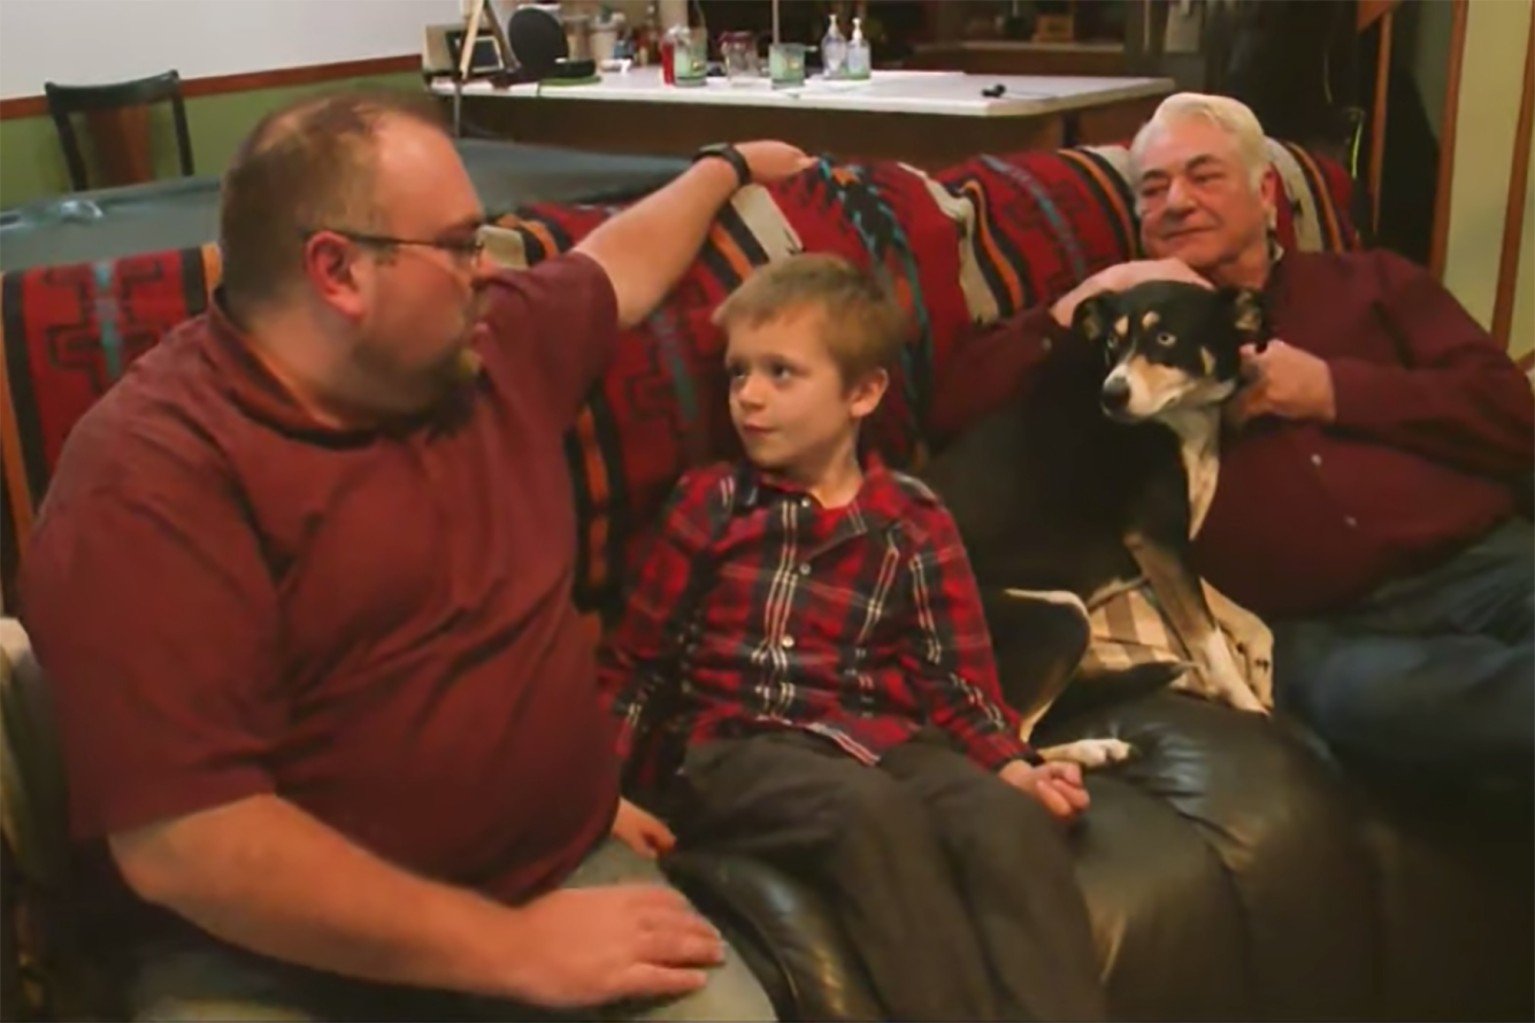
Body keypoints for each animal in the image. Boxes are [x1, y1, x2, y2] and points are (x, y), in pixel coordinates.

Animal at [927, 282, 1277, 761]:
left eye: (1164, 338)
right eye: (1112, 341)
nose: (1111, 395)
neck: (1182, 418)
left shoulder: (1164, 549)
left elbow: (1235, 612)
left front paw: (1259, 666)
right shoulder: (1156, 538)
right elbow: (1208, 639)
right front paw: (1246, 703)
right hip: (1063, 616)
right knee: (1010, 743)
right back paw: (1096, 750)